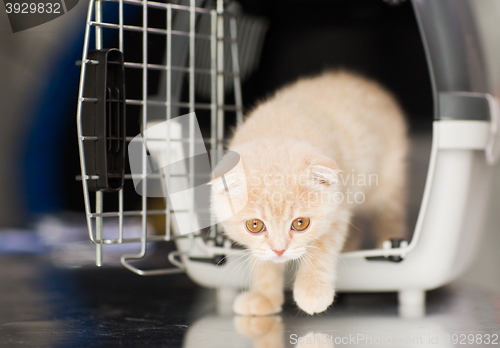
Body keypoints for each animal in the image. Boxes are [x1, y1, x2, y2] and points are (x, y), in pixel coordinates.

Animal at [209, 70, 408, 316]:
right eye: (254, 225)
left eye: (300, 223)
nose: (279, 250)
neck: (277, 127)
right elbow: (262, 261)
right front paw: (264, 298)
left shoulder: (337, 210)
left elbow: (321, 248)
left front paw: (312, 293)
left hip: (388, 180)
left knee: (390, 218)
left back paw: (389, 246)